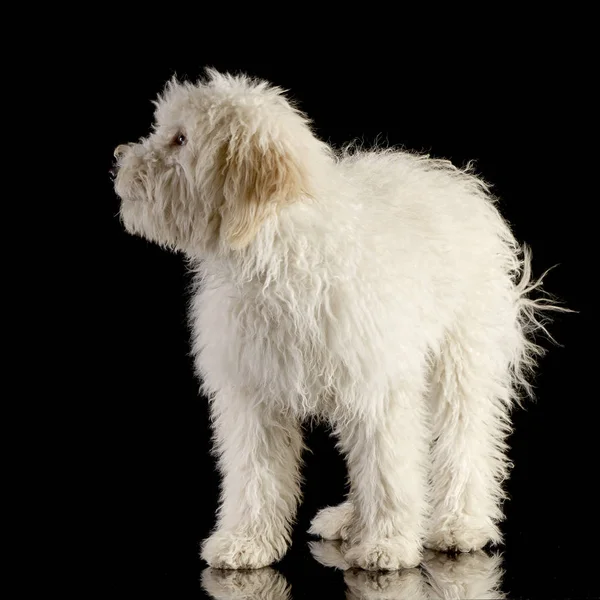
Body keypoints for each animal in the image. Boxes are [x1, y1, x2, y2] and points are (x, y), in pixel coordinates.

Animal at [112, 69, 564, 572]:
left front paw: (387, 544)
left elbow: (388, 469)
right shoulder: (254, 394)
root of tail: (456, 182)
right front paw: (246, 542)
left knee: (465, 441)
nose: (119, 159)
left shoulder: (379, 386)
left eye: (180, 139)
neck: (276, 251)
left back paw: (458, 524)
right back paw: (351, 520)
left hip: (461, 359)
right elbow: (255, 474)